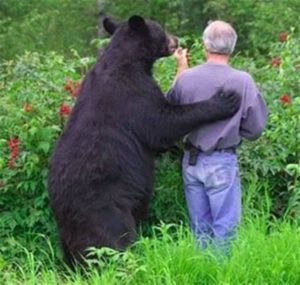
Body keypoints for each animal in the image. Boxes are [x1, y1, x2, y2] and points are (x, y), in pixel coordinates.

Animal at [48, 15, 241, 264]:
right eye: (161, 29)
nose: (176, 40)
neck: (129, 61)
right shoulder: (133, 95)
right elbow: (162, 124)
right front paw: (224, 101)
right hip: (105, 209)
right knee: (113, 240)